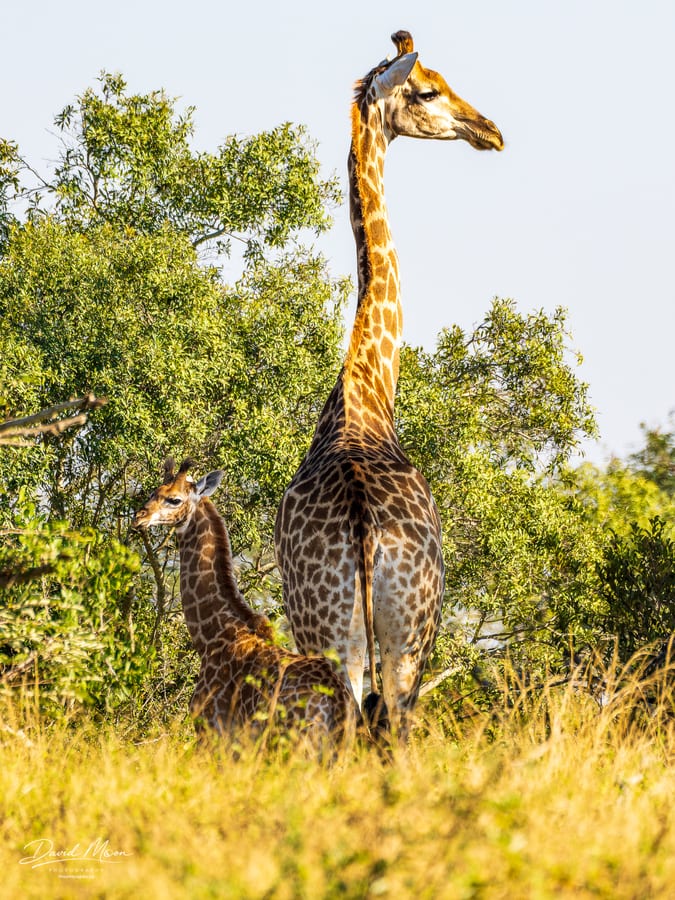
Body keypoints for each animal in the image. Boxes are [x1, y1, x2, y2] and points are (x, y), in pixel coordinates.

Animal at [134, 458, 360, 756]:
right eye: (154, 492)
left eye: (174, 499)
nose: (139, 517)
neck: (211, 636)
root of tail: (339, 704)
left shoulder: (213, 732)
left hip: (298, 746)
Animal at [275, 31, 503, 739]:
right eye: (427, 90)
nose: (490, 130)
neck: (369, 381)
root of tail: (364, 528)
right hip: (398, 636)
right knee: (381, 726)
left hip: (353, 634)